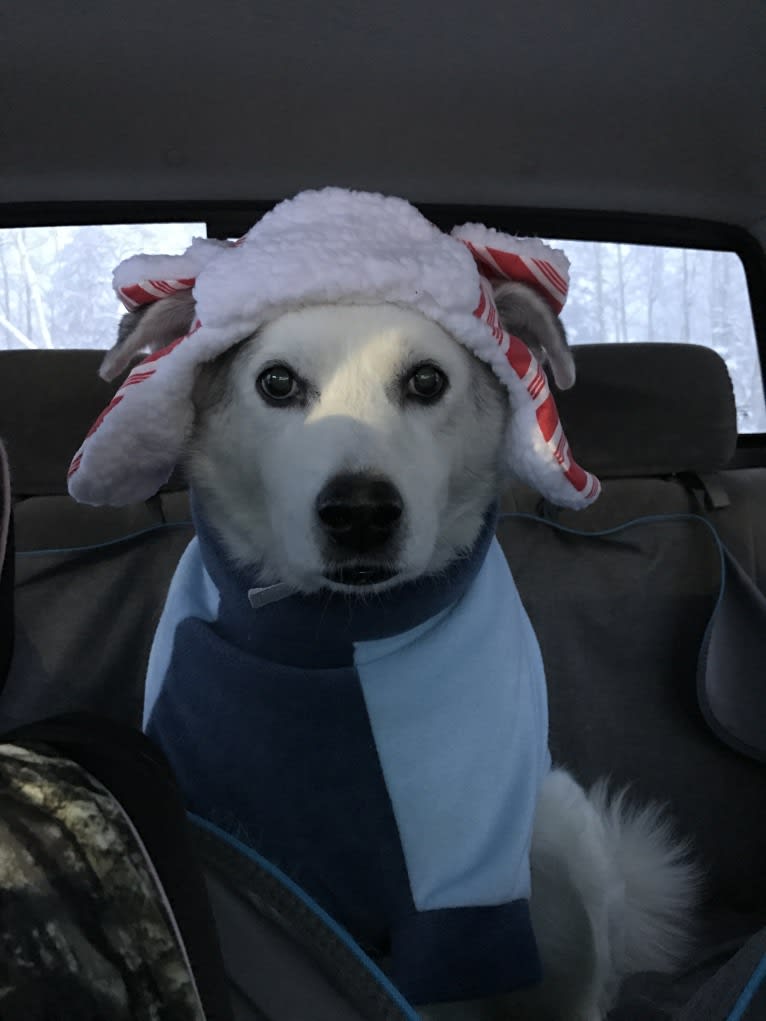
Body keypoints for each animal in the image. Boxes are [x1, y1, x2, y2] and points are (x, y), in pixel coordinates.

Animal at [76, 191, 694, 1021]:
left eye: (426, 381)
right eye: (276, 383)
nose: (361, 513)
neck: (332, 644)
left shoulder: (460, 888)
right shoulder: (229, 829)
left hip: (563, 830)